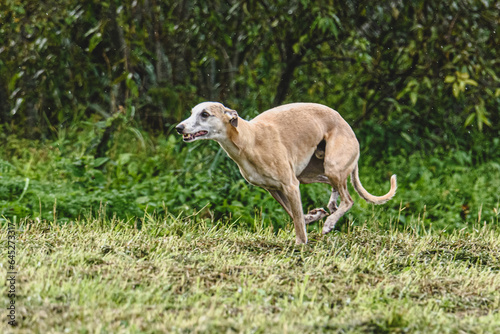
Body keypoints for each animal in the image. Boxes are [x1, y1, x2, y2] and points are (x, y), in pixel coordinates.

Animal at [175, 100, 394, 244]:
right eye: (192, 112)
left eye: (205, 114)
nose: (179, 127)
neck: (248, 139)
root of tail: (348, 128)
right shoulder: (274, 189)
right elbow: (293, 213)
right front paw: (311, 216)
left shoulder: (290, 185)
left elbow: (296, 219)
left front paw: (301, 244)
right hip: (313, 171)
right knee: (335, 186)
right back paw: (331, 206)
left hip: (331, 165)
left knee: (349, 199)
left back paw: (329, 222)